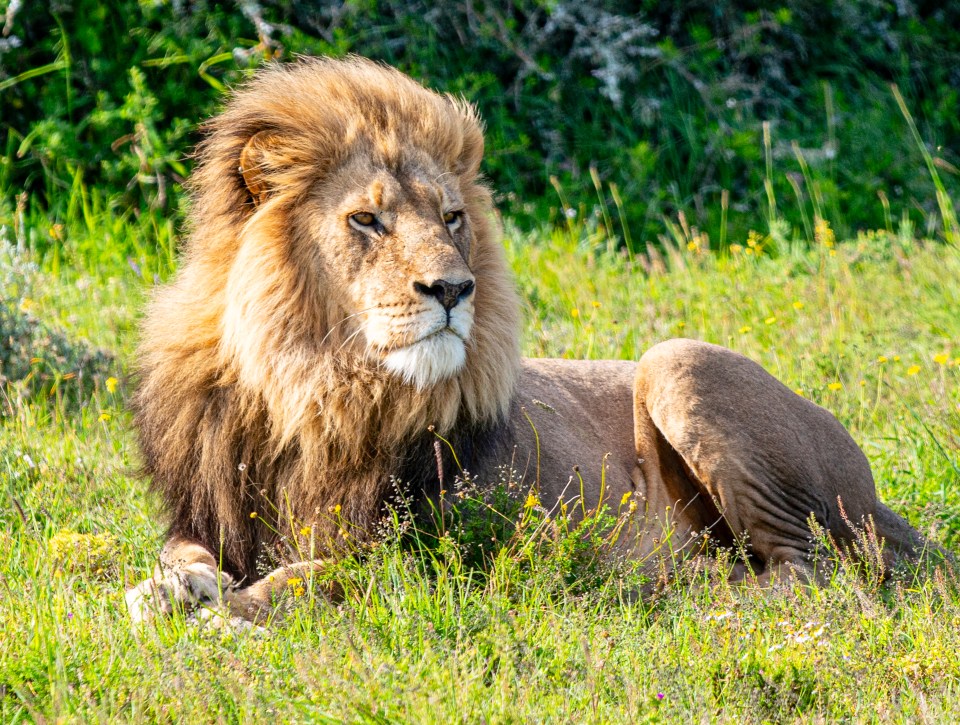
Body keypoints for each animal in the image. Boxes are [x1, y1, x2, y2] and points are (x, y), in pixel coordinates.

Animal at [126, 56, 933, 623]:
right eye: (366, 220)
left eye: (451, 217)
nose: (453, 289)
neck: (312, 389)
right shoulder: (210, 508)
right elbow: (177, 554)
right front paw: (166, 590)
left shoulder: (434, 554)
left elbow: (311, 573)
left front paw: (231, 612)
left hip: (678, 362)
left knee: (816, 572)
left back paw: (687, 591)